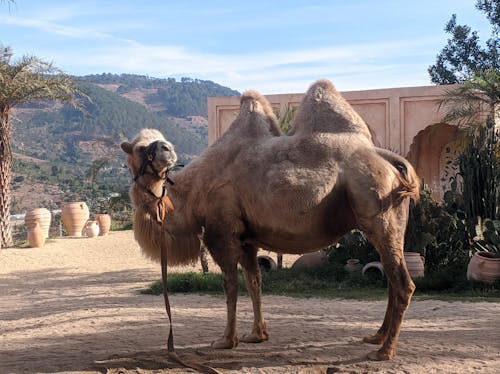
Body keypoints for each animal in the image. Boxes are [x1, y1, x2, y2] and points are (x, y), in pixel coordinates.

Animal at [122, 79, 422, 362]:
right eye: (139, 148)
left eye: (153, 144)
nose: (167, 149)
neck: (192, 193)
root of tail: (390, 160)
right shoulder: (247, 238)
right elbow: (254, 281)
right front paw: (257, 334)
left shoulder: (221, 231)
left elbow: (230, 285)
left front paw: (226, 340)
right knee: (392, 277)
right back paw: (376, 337)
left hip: (378, 210)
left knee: (402, 282)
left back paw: (384, 351)